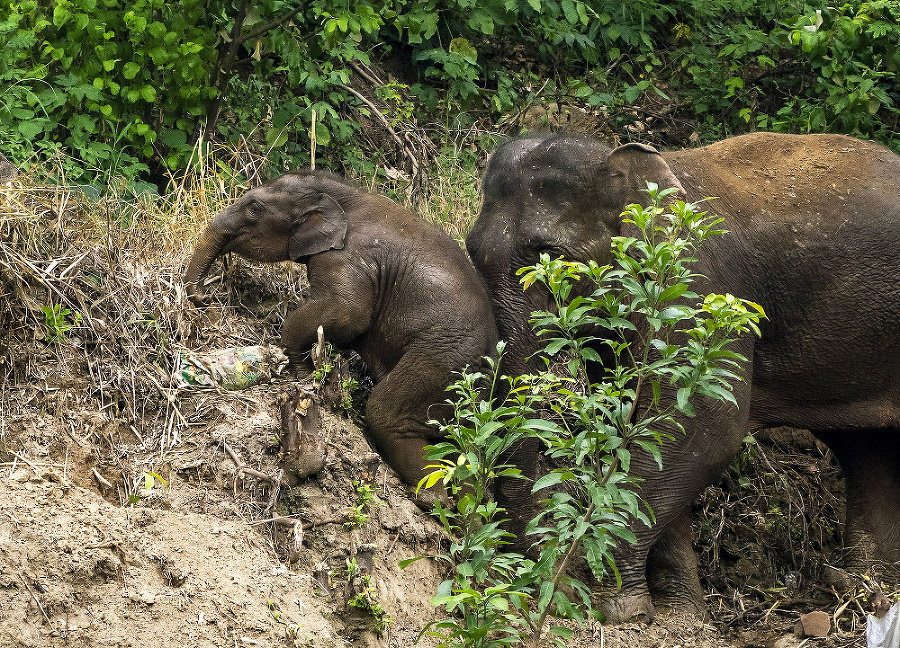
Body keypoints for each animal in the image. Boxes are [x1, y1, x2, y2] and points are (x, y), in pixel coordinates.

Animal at [186, 170, 500, 494]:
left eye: (254, 208)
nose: (204, 298)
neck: (341, 194)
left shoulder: (349, 257)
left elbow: (349, 313)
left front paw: (299, 371)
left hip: (443, 360)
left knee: (384, 412)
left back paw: (431, 497)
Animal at [468, 130, 900, 624]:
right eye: (471, 254)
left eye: (554, 258)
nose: (529, 577)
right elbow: (648, 429)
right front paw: (680, 615)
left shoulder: (699, 292)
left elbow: (703, 427)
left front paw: (620, 612)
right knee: (870, 450)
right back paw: (871, 590)